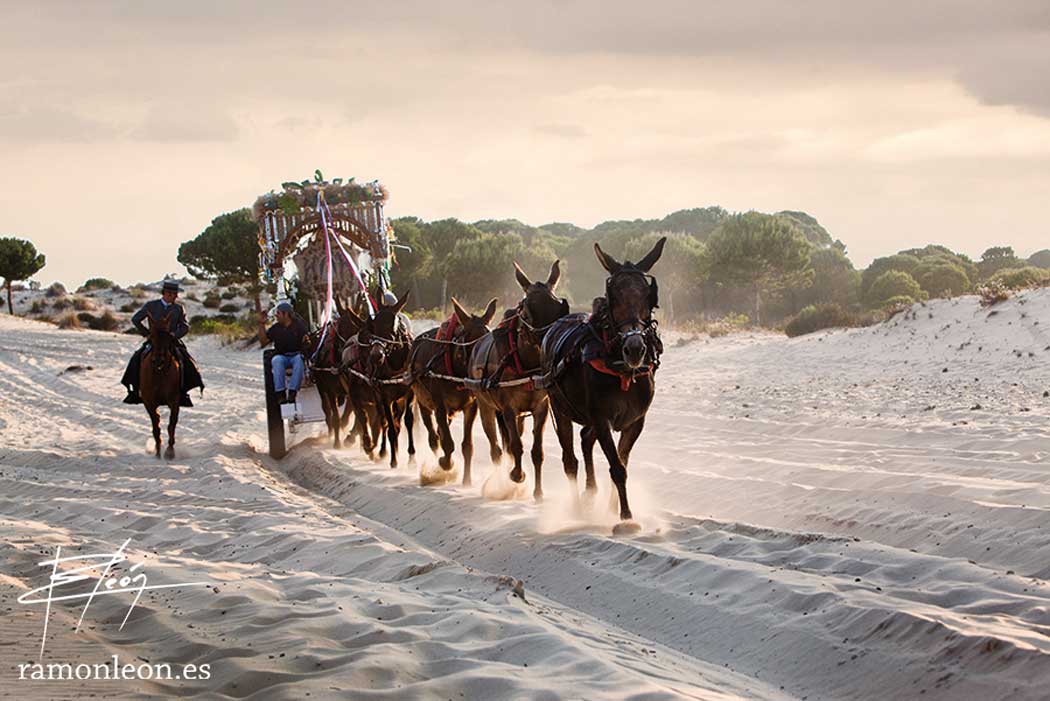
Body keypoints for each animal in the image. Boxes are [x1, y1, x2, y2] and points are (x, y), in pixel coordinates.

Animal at [139, 312, 182, 459]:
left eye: (169, 337)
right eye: (151, 337)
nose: (158, 360)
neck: (159, 373)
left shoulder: (174, 400)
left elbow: (171, 424)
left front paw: (169, 451)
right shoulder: (148, 402)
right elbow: (156, 425)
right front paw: (158, 451)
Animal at [341, 291, 416, 468]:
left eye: (392, 326)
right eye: (374, 327)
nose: (376, 356)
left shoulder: (409, 394)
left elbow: (408, 421)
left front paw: (411, 457)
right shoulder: (382, 396)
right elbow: (382, 423)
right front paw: (391, 457)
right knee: (382, 421)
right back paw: (379, 449)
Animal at [410, 297, 498, 485]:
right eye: (472, 344)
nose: (482, 372)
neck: (457, 371)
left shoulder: (471, 406)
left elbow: (467, 445)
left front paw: (467, 480)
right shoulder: (439, 405)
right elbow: (448, 443)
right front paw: (445, 464)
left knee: (439, 433)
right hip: (423, 403)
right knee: (433, 438)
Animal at [468, 261, 569, 501]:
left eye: (557, 308)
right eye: (528, 312)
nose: (550, 341)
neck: (526, 362)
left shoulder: (541, 407)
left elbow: (537, 451)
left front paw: (538, 491)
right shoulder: (508, 408)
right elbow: (515, 444)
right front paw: (516, 475)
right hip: (485, 406)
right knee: (495, 448)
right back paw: (499, 481)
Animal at [541, 238, 665, 531]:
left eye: (648, 296)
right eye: (614, 296)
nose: (635, 348)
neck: (621, 368)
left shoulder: (635, 421)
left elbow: (622, 461)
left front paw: (612, 508)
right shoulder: (601, 416)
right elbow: (617, 467)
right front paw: (626, 516)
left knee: (586, 439)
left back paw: (591, 492)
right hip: (558, 405)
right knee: (570, 459)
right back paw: (576, 508)